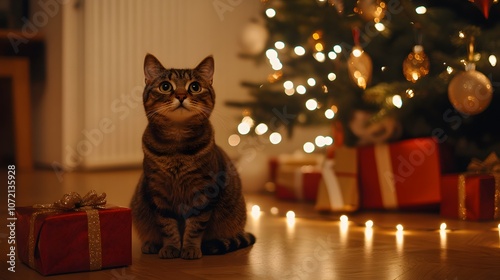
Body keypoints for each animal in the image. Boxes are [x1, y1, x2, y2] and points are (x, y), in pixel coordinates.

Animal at [131, 53, 256, 260]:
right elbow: (167, 225)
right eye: (165, 86)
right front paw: (171, 247)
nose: (181, 96)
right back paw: (152, 244)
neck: (176, 150)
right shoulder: (158, 191)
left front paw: (189, 248)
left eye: (195, 87)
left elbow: (195, 225)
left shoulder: (204, 191)